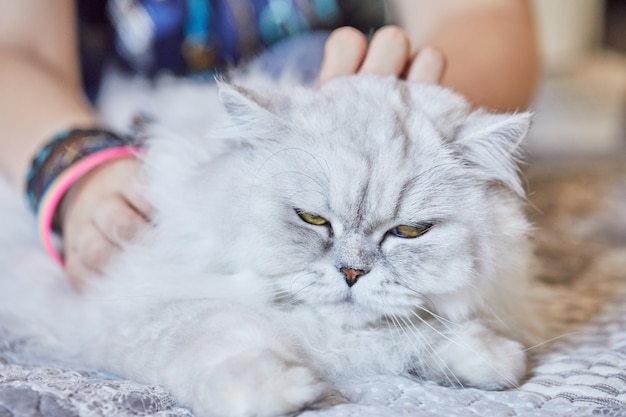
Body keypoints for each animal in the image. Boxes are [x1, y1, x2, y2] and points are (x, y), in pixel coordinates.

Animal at [0, 73, 536, 414]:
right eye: (313, 219)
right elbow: (223, 335)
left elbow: (421, 330)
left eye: (407, 232)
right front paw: (281, 391)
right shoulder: (133, 304)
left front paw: (490, 359)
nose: (352, 274)